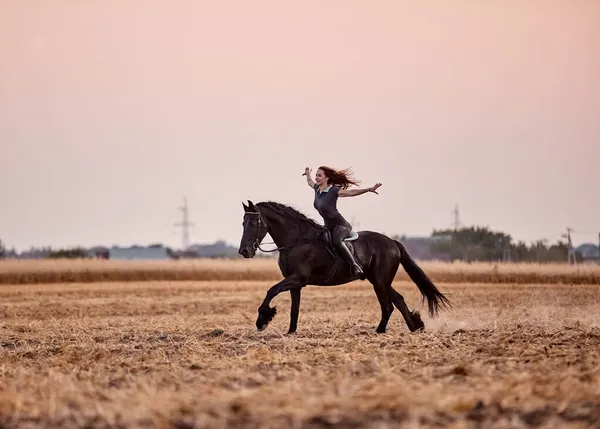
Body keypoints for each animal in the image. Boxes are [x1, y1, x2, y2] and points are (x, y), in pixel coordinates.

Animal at [237, 199, 448, 332]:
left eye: (254, 222)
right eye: (243, 222)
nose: (244, 251)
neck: (296, 240)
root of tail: (393, 243)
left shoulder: (297, 279)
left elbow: (271, 291)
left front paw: (262, 320)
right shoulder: (295, 283)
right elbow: (294, 309)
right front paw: (291, 332)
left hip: (380, 281)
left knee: (388, 306)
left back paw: (380, 331)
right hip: (379, 280)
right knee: (399, 300)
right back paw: (415, 326)